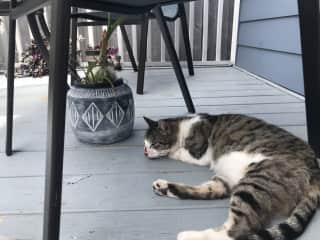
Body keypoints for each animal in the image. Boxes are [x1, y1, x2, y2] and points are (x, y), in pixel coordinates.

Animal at [144, 114, 320, 240]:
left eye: (153, 144)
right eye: (144, 145)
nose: (145, 152)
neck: (183, 127)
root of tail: (315, 170)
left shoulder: (200, 152)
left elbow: (181, 153)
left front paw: (173, 152)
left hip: (256, 180)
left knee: (238, 229)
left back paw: (188, 236)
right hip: (229, 179)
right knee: (212, 192)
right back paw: (163, 187)